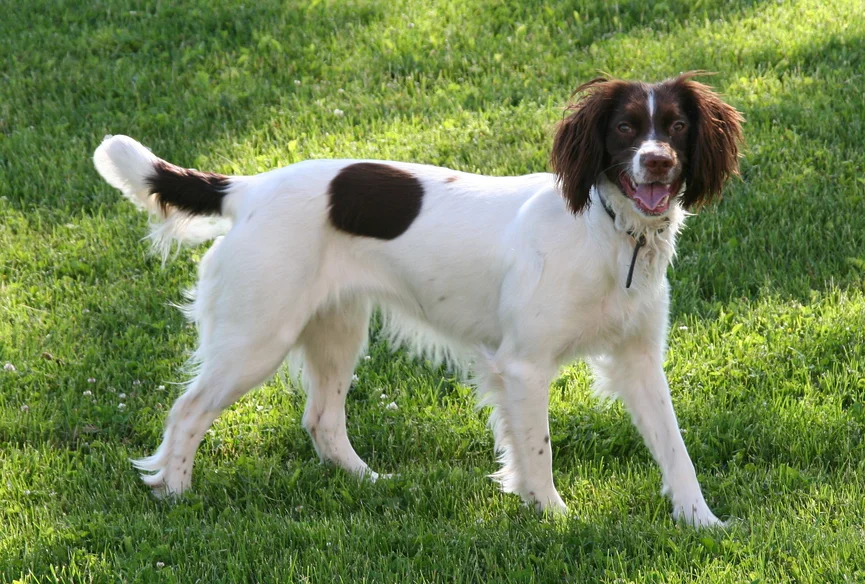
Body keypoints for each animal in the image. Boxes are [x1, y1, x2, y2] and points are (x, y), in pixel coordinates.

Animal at [94, 70, 744, 528]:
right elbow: (538, 450)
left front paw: (702, 521)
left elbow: (675, 449)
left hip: (337, 328)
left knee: (321, 419)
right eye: (625, 129)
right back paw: (174, 492)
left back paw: (369, 482)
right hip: (256, 339)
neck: (608, 231)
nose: (657, 163)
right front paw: (554, 516)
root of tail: (247, 188)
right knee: (187, 411)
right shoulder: (524, 365)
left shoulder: (639, 361)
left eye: (677, 128)